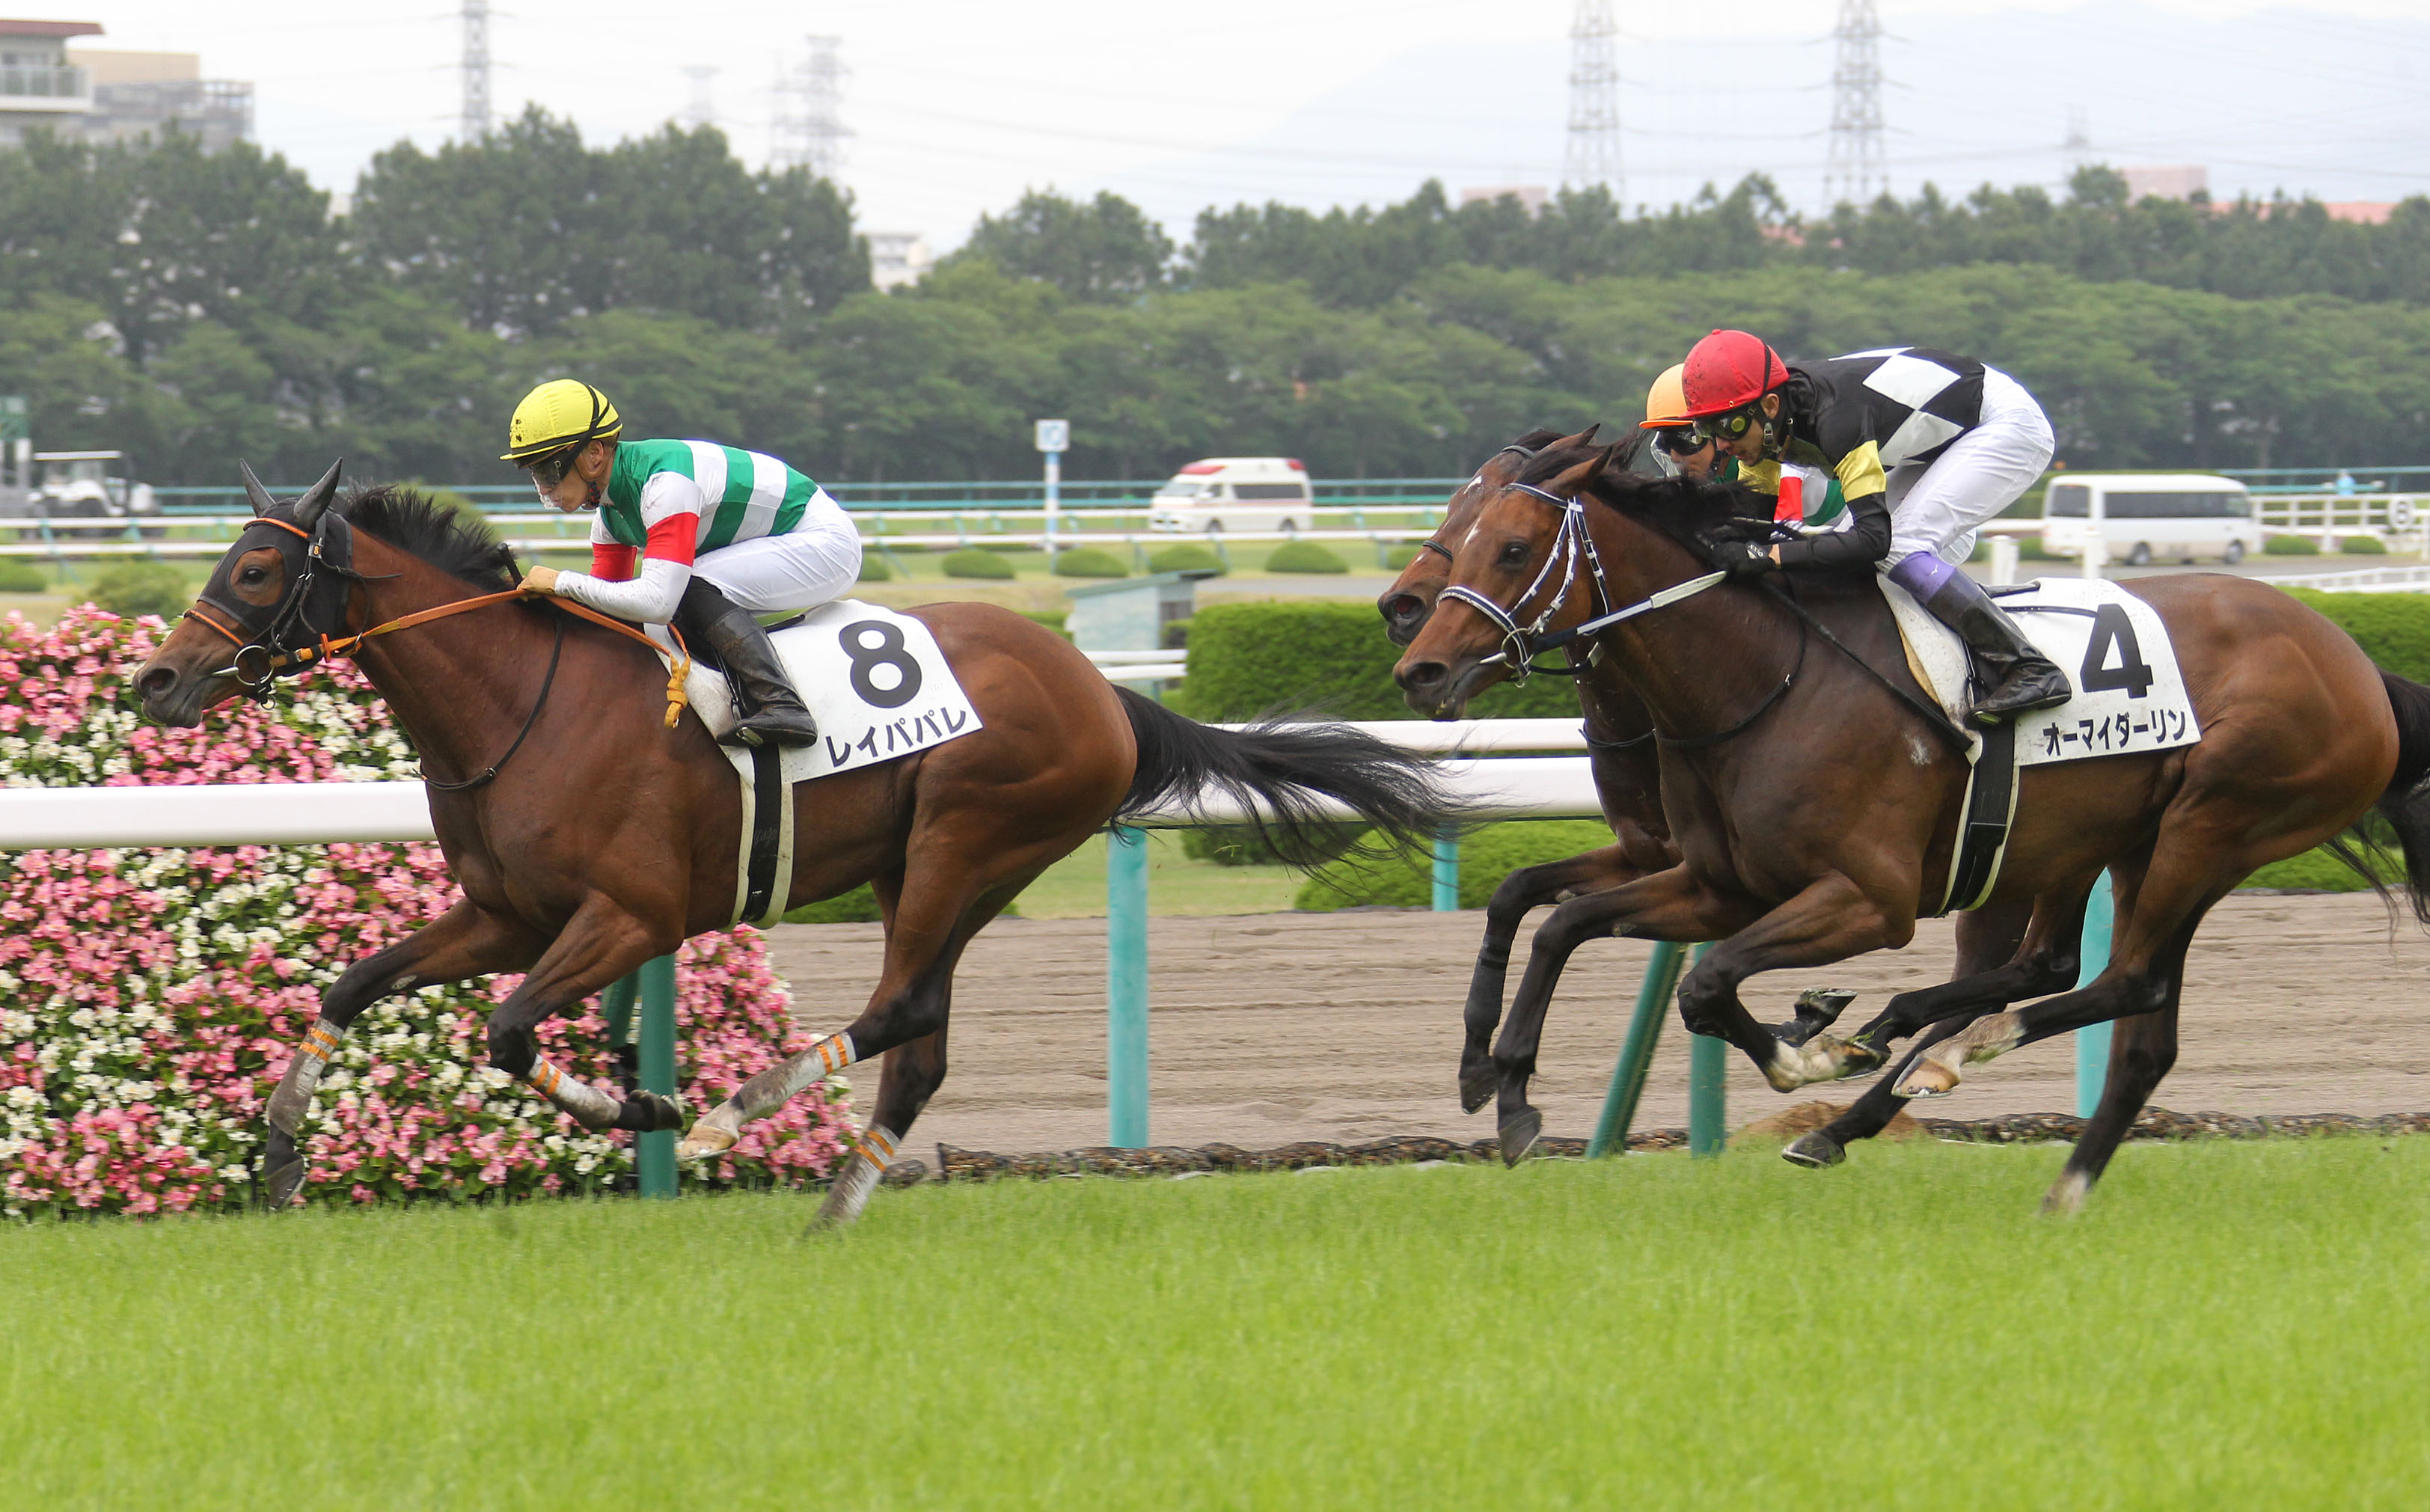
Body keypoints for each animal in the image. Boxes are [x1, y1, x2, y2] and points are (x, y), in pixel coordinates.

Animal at [138, 464, 1457, 1234]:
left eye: (255, 564)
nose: (158, 680)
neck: (525, 702)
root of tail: (1105, 691)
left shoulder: (631, 914)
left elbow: (509, 1033)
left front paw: (650, 1103)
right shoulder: (508, 915)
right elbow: (351, 984)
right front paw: (282, 1154)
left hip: (968, 835)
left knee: (902, 1007)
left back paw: (738, 1115)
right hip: (938, 865)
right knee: (922, 1042)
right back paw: (831, 1211)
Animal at [1389, 435, 2430, 1210]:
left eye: (1509, 548)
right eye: (1456, 526)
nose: (1417, 661)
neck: (1764, 677)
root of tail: (2355, 662)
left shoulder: (1868, 900)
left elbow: (1705, 982)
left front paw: (1807, 1049)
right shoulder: (1714, 881)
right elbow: (1550, 915)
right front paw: (1503, 1092)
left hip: (2208, 825)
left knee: (2121, 980)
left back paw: (1924, 1050)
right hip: (2097, 844)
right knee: (2104, 1008)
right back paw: (2009, 1159)